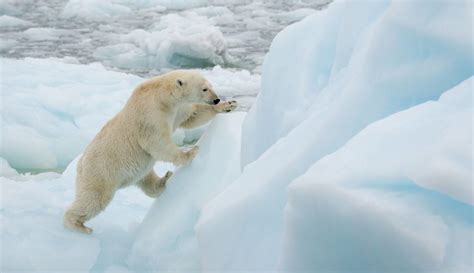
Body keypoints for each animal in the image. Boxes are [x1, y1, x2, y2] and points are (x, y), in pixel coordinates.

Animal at [64, 69, 237, 232]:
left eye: (210, 86)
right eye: (204, 89)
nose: (216, 99)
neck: (163, 97)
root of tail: (80, 164)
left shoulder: (177, 109)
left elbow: (192, 115)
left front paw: (229, 105)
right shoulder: (150, 114)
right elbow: (156, 141)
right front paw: (189, 153)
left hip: (135, 172)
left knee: (147, 180)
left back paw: (165, 179)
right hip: (101, 173)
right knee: (94, 198)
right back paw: (77, 224)